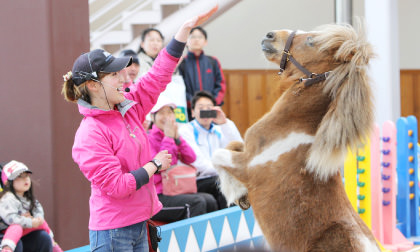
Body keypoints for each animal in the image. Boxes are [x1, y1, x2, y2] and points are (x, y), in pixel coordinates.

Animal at [212, 21, 378, 252]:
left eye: (311, 41)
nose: (270, 35)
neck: (292, 126)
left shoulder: (247, 166)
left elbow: (217, 155)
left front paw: (235, 192)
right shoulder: (246, 150)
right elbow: (231, 144)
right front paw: (241, 197)